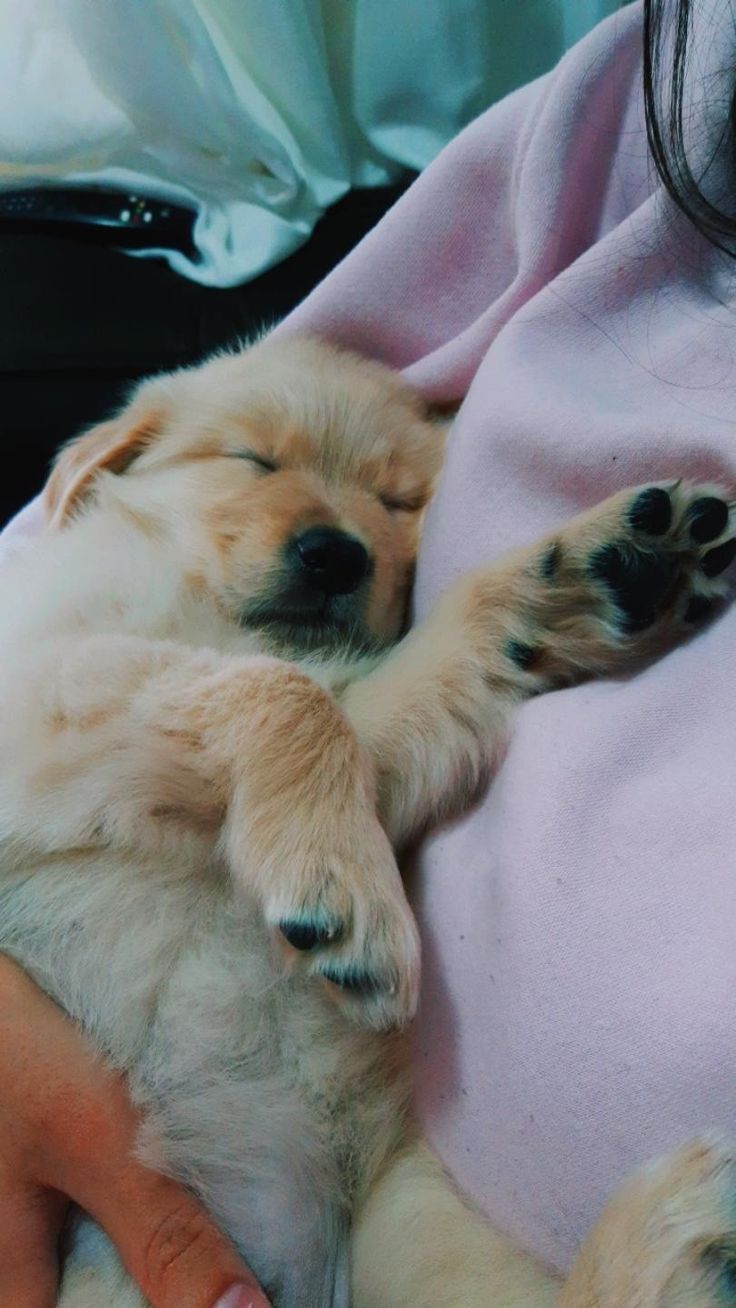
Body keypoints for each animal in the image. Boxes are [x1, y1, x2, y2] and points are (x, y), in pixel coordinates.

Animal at [1, 332, 736, 1302]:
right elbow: (283, 687)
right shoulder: (44, 683)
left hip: (408, 1220)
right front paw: (346, 889)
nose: (335, 555)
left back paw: (672, 1237)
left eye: (397, 501)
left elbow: (384, 685)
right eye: (256, 458)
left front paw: (575, 579)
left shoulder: (367, 752)